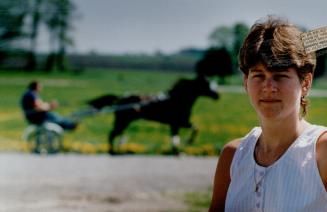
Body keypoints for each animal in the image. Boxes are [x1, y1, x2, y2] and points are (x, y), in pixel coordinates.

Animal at [88, 76, 219, 154]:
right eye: (207, 85)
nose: (217, 96)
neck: (178, 99)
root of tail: (120, 98)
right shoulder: (179, 123)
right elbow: (195, 128)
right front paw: (187, 143)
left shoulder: (177, 124)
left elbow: (178, 137)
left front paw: (176, 150)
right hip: (122, 122)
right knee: (112, 134)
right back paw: (113, 151)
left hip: (123, 122)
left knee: (115, 134)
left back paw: (117, 149)